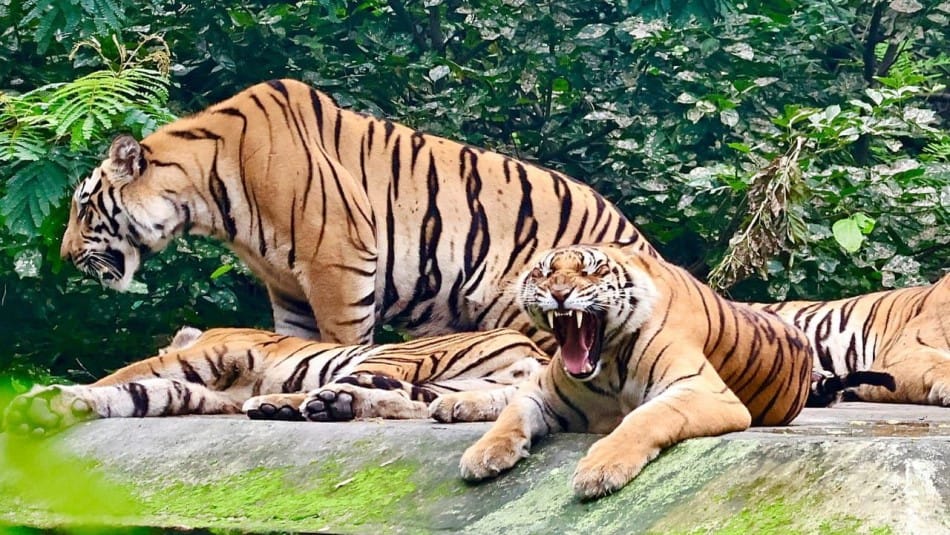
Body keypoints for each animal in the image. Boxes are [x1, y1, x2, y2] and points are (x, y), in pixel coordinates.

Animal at [59, 79, 652, 352]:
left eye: (84, 208)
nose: (64, 256)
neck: (205, 195)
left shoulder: (337, 264)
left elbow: (342, 345)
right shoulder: (289, 288)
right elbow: (293, 346)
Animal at [448, 242, 812, 500]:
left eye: (591, 271)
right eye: (544, 273)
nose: (559, 293)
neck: (605, 363)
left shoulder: (705, 391)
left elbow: (645, 417)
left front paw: (599, 470)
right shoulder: (543, 392)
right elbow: (513, 413)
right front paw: (482, 453)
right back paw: (452, 405)